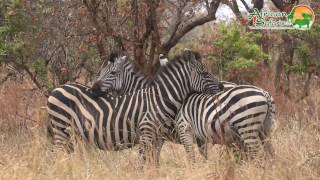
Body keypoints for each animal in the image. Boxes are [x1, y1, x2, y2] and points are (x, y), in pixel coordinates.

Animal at [48, 50, 222, 165]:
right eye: (205, 73)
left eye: (112, 73)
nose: (92, 90)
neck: (158, 100)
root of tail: (56, 89)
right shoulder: (148, 135)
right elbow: (145, 162)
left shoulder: (157, 138)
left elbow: (151, 162)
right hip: (62, 131)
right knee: (58, 158)